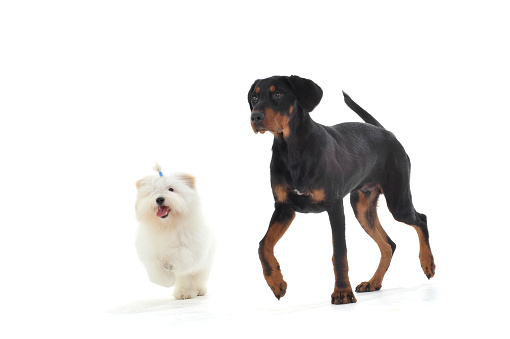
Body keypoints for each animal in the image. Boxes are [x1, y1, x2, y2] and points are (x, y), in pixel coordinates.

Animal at [134, 165, 214, 300]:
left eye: (171, 189)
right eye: (153, 191)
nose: (159, 199)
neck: (168, 225)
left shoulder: (190, 250)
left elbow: (177, 254)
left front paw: (168, 264)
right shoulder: (149, 249)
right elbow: (156, 265)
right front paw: (165, 279)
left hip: (204, 264)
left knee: (193, 278)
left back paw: (191, 291)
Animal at [247, 75, 434, 304]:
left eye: (279, 94)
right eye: (255, 97)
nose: (255, 116)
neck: (292, 150)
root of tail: (385, 131)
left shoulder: (334, 206)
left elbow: (340, 252)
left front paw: (342, 292)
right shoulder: (284, 208)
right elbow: (263, 244)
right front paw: (276, 282)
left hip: (398, 201)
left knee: (421, 220)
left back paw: (428, 263)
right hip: (362, 208)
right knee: (389, 244)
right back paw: (373, 282)